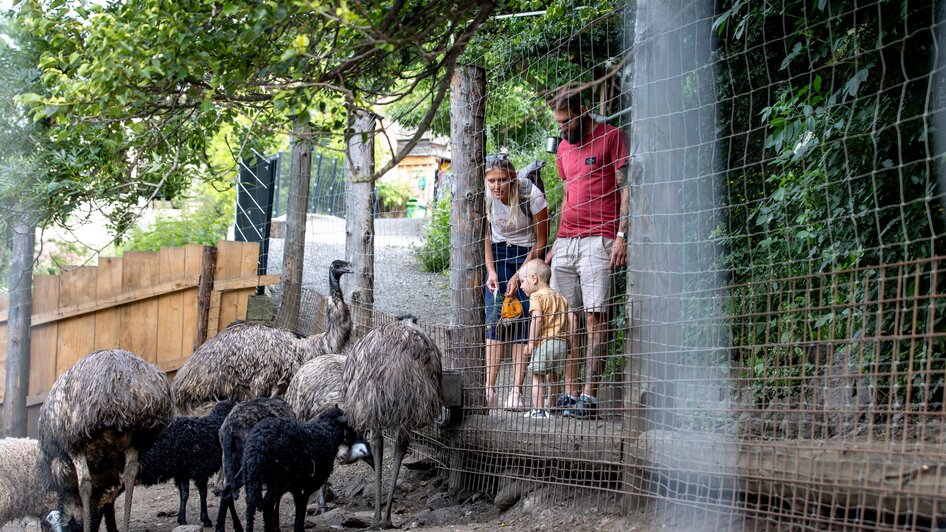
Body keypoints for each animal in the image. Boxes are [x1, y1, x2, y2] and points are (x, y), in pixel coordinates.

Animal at [138, 400, 238, 528]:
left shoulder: (182, 472)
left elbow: (184, 494)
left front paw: (182, 520)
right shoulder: (200, 469)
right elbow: (203, 493)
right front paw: (206, 520)